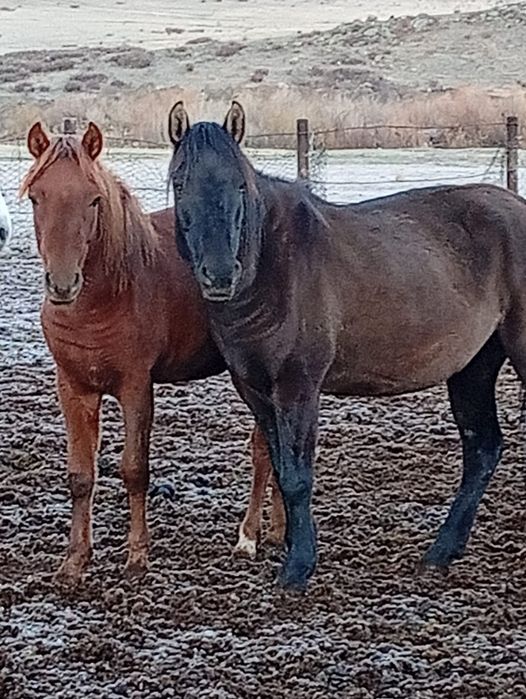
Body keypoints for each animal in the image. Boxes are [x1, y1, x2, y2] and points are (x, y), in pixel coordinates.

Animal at [21, 121, 282, 585]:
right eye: (37, 197)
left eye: (93, 199)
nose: (63, 284)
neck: (108, 295)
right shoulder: (73, 389)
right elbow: (80, 476)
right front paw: (74, 562)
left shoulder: (135, 387)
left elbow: (134, 469)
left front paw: (137, 558)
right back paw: (275, 532)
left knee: (265, 448)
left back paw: (250, 538)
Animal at [168, 99, 526, 591]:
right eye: (179, 182)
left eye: (240, 182)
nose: (220, 274)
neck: (273, 266)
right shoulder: (256, 391)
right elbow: (278, 465)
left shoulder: (298, 387)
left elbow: (298, 476)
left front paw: (297, 568)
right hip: (473, 368)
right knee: (482, 449)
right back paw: (440, 553)